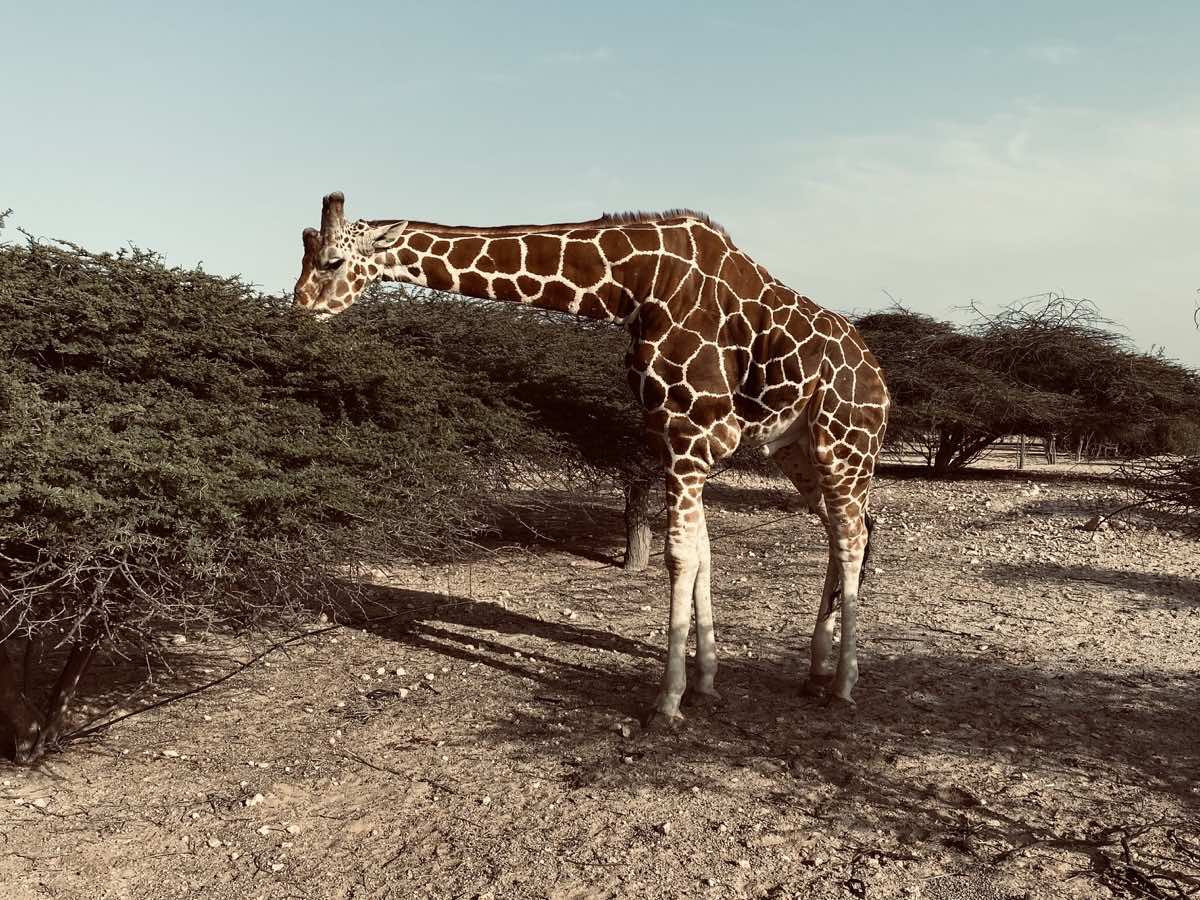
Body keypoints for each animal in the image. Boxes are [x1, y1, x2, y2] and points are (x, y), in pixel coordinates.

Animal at [295, 192, 889, 728]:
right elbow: (702, 551)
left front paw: (667, 703)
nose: (299, 311)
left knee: (851, 534)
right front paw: (706, 682)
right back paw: (816, 671)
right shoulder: (677, 438)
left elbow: (680, 556)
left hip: (844, 443)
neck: (635, 286)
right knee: (850, 528)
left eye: (333, 260)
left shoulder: (691, 433)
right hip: (797, 450)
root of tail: (880, 381)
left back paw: (843, 685)